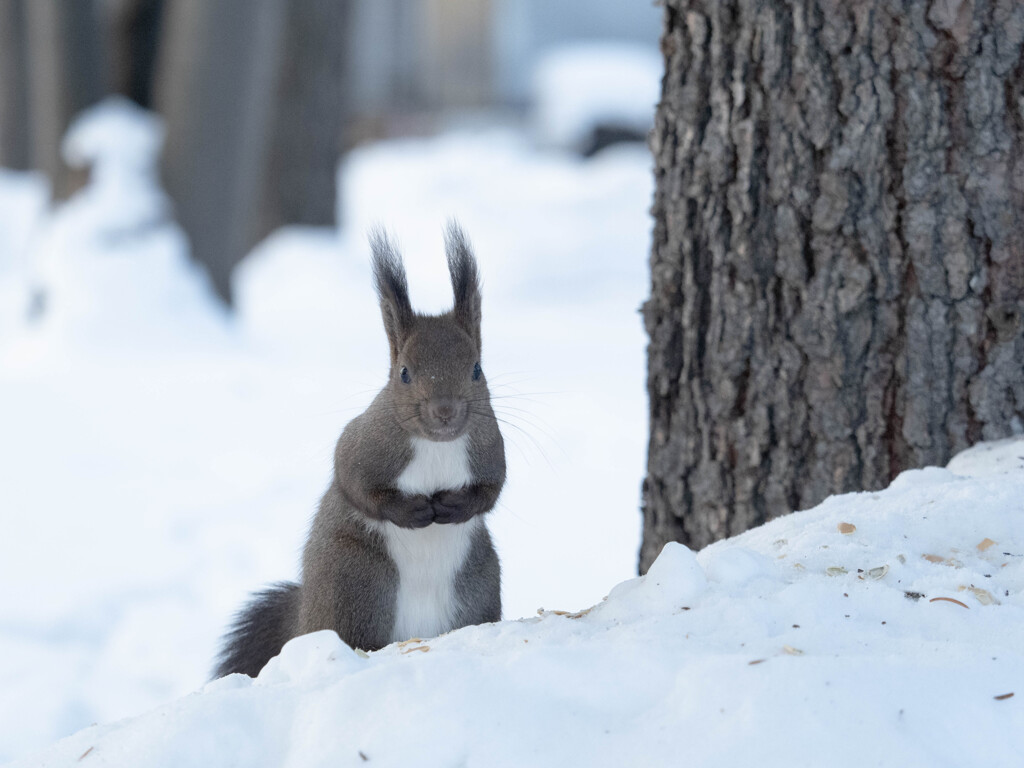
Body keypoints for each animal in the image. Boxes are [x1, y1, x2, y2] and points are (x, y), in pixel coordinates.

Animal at [212, 222, 507, 679]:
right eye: (404, 374)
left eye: (476, 369)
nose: (444, 411)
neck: (436, 446)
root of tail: (304, 620)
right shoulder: (364, 444)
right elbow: (353, 482)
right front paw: (414, 511)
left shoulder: (489, 448)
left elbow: (492, 490)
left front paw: (453, 506)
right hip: (355, 585)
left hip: (477, 587)